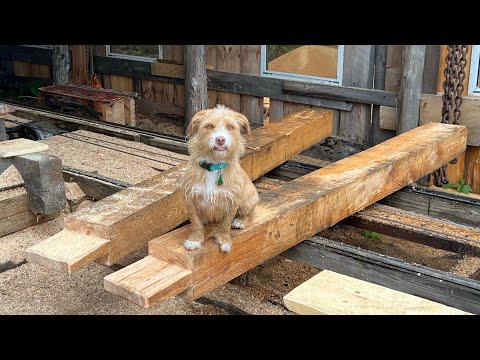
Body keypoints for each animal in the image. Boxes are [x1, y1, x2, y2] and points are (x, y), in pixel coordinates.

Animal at [182, 104, 260, 253]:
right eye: (209, 126)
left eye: (230, 127)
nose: (220, 139)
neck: (214, 165)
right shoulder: (190, 199)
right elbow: (195, 223)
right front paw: (195, 239)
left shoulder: (233, 201)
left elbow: (225, 224)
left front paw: (224, 240)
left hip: (248, 200)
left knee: (251, 213)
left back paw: (241, 221)